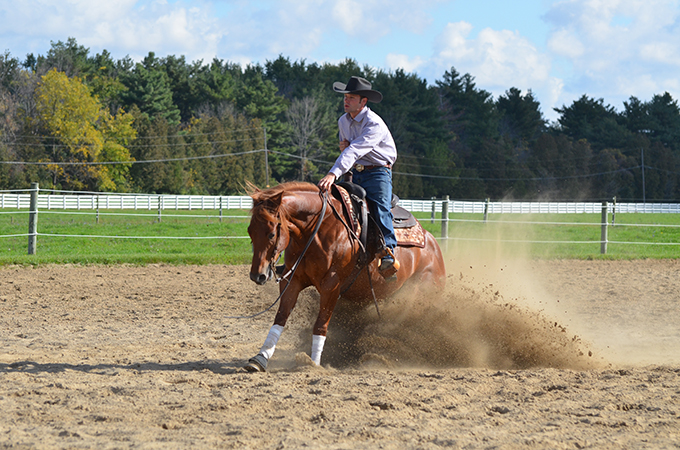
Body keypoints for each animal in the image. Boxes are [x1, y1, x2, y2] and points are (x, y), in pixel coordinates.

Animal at [244, 181, 446, 372]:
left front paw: (313, 363)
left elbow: (320, 324)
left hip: (422, 293)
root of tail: (433, 245)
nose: (257, 275)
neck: (317, 230)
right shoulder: (292, 280)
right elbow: (280, 319)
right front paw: (260, 358)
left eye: (271, 234)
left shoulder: (331, 286)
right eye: (250, 231)